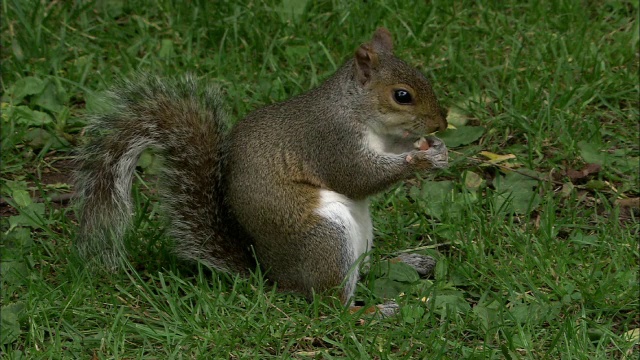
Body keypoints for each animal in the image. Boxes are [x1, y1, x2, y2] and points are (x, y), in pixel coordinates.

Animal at [75, 27, 448, 306]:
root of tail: (274, 278)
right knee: (332, 304)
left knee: (365, 270)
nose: (441, 124)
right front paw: (421, 159)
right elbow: (358, 178)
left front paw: (436, 150)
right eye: (402, 95)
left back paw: (408, 262)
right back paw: (374, 311)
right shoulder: (331, 140)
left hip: (361, 231)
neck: (356, 109)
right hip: (326, 237)